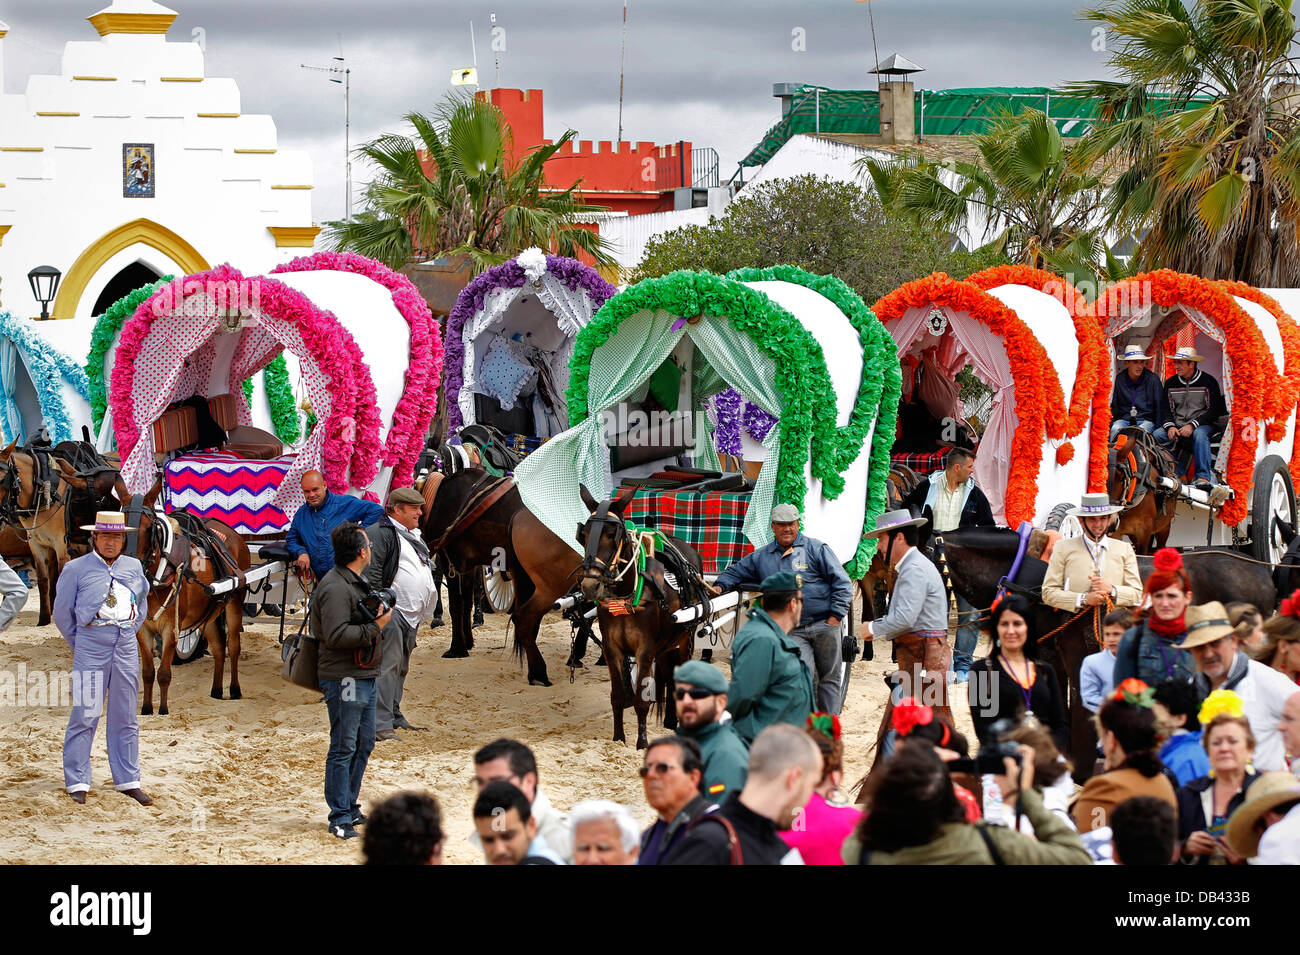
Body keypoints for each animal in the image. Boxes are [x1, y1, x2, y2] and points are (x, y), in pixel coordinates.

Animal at [124, 480, 250, 712]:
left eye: (150, 528)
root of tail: (232, 533)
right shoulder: (142, 630)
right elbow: (147, 672)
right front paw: (146, 710)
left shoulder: (171, 629)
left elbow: (164, 674)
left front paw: (163, 711)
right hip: (208, 613)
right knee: (218, 647)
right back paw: (216, 691)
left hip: (235, 603)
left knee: (233, 646)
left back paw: (235, 690)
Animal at [418, 465, 582, 686]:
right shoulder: (463, 563)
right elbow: (465, 603)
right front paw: (465, 644)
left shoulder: (450, 559)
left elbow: (457, 604)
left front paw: (456, 648)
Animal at [577, 485, 707, 748]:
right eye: (583, 535)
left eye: (612, 534)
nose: (590, 585)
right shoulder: (611, 648)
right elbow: (617, 697)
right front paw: (618, 738)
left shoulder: (645, 651)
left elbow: (640, 701)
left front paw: (642, 743)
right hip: (668, 644)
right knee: (669, 676)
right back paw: (669, 721)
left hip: (685, 639)